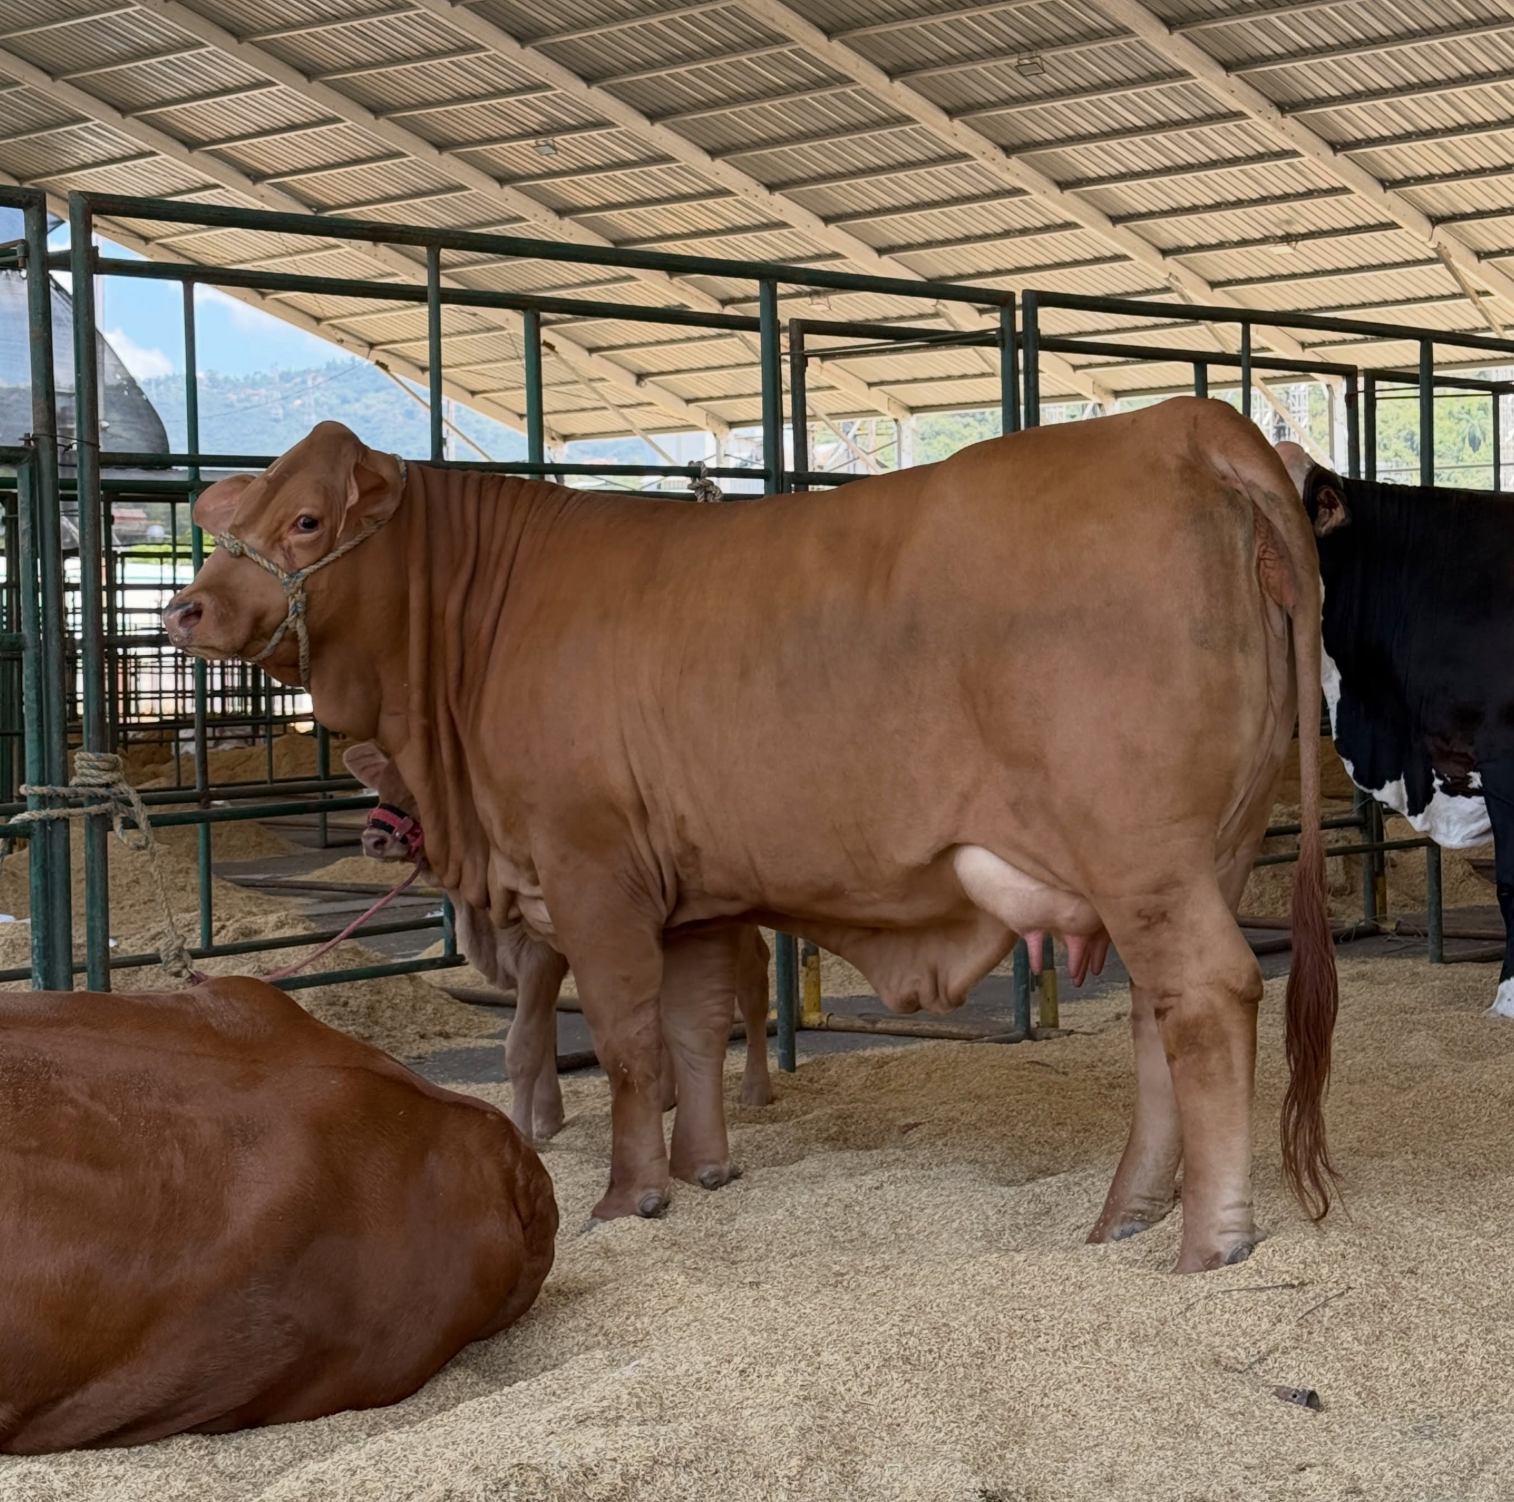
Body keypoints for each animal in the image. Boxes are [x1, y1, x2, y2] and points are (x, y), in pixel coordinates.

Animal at [340, 740, 774, 1145]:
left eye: (422, 786)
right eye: (381, 784)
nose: (374, 839)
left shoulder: (539, 957)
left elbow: (523, 1046)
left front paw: (522, 1128)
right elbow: (545, 1035)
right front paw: (548, 1119)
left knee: (754, 977)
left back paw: (756, 1089)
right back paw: (668, 1095)